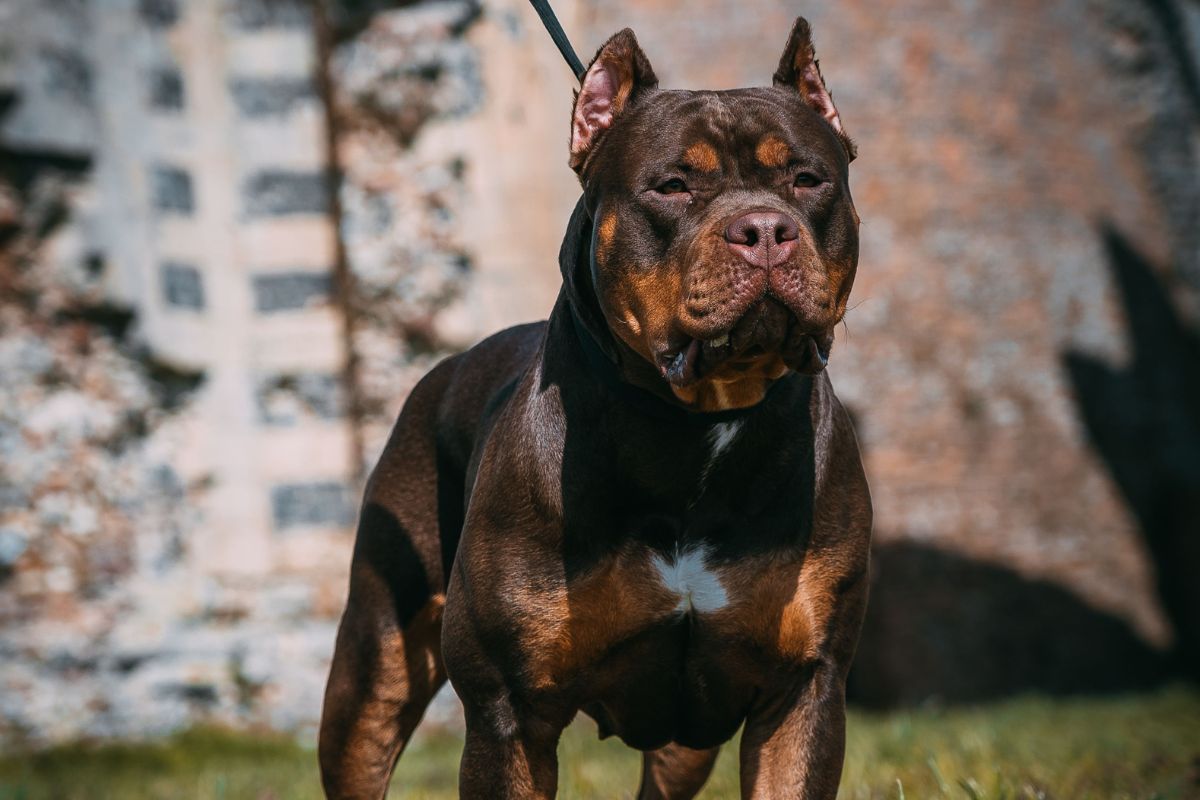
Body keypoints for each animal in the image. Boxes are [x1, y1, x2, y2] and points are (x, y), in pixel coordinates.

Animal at [319, 18, 873, 800]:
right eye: (672, 186)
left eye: (807, 179)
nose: (765, 229)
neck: (696, 422)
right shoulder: (509, 713)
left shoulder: (804, 690)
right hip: (373, 671)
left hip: (685, 744)